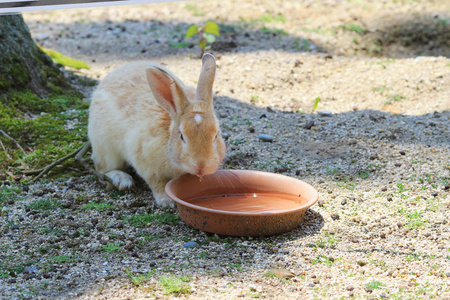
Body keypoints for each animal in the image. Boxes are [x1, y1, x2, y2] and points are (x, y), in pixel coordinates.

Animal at [88, 54, 227, 207]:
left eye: (216, 135)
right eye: (182, 136)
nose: (201, 167)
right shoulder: (147, 165)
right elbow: (158, 184)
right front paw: (167, 201)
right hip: (106, 148)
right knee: (102, 169)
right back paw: (122, 180)